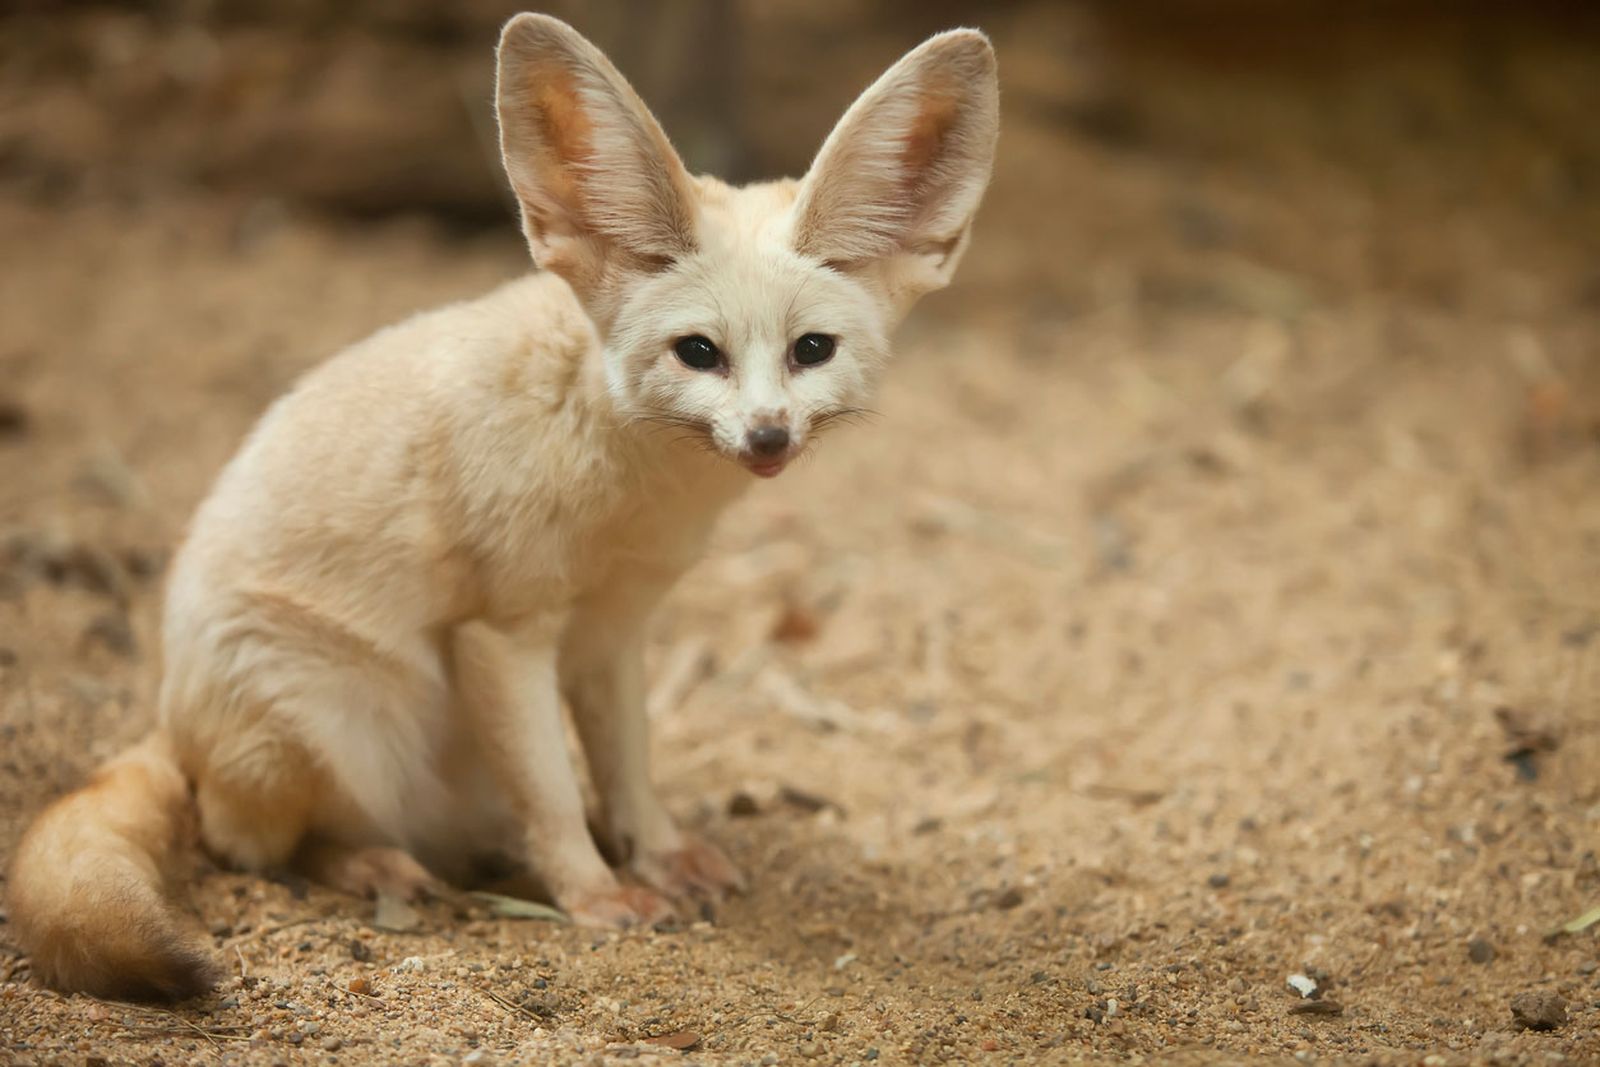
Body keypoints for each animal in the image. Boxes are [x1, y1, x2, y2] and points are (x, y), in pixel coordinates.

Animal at [6, 14, 998, 1000]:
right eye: (698, 352)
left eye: (812, 349)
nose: (766, 437)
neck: (633, 498)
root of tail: (170, 715)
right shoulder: (504, 633)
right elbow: (553, 792)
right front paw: (596, 897)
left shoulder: (614, 634)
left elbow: (628, 768)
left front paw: (656, 853)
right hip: (337, 722)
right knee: (249, 842)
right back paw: (375, 865)